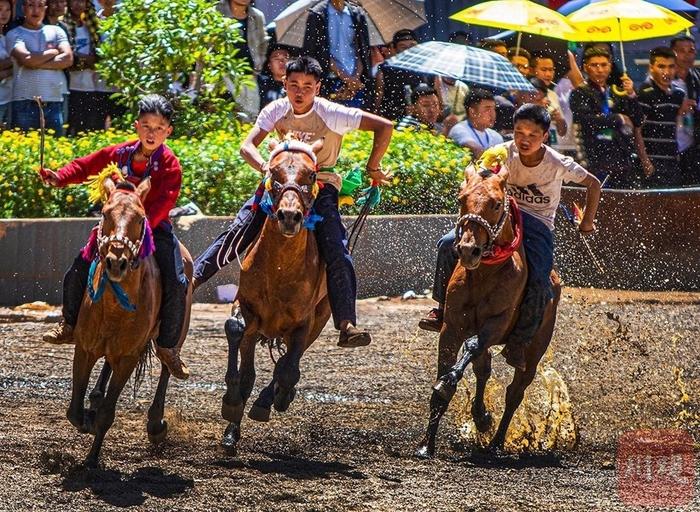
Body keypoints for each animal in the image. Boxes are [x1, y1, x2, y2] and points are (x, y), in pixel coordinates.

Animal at [67, 177, 193, 468]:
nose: (116, 262)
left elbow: (107, 414)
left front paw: (92, 458)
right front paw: (87, 417)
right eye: (104, 213)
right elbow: (74, 412)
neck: (114, 308)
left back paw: (156, 424)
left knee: (167, 364)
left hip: (176, 332)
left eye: (141, 217)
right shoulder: (85, 348)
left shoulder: (128, 358)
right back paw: (95, 398)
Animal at [221, 138, 330, 454]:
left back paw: (272, 399)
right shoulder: (246, 306)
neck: (280, 268)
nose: (289, 216)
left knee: (286, 365)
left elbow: (288, 369)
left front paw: (278, 397)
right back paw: (232, 429)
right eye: (273, 173)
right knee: (250, 372)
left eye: (312, 175)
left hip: (320, 319)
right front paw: (231, 401)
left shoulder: (305, 322)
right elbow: (235, 329)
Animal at [416, 166, 564, 458]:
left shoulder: (496, 324)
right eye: (461, 199)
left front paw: (450, 382)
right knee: (483, 371)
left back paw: (496, 443)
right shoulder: (451, 329)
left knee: (515, 392)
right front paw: (427, 445)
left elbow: (472, 348)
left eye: (496, 204)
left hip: (534, 351)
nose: (467, 250)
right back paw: (482, 418)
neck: (485, 274)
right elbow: (446, 380)